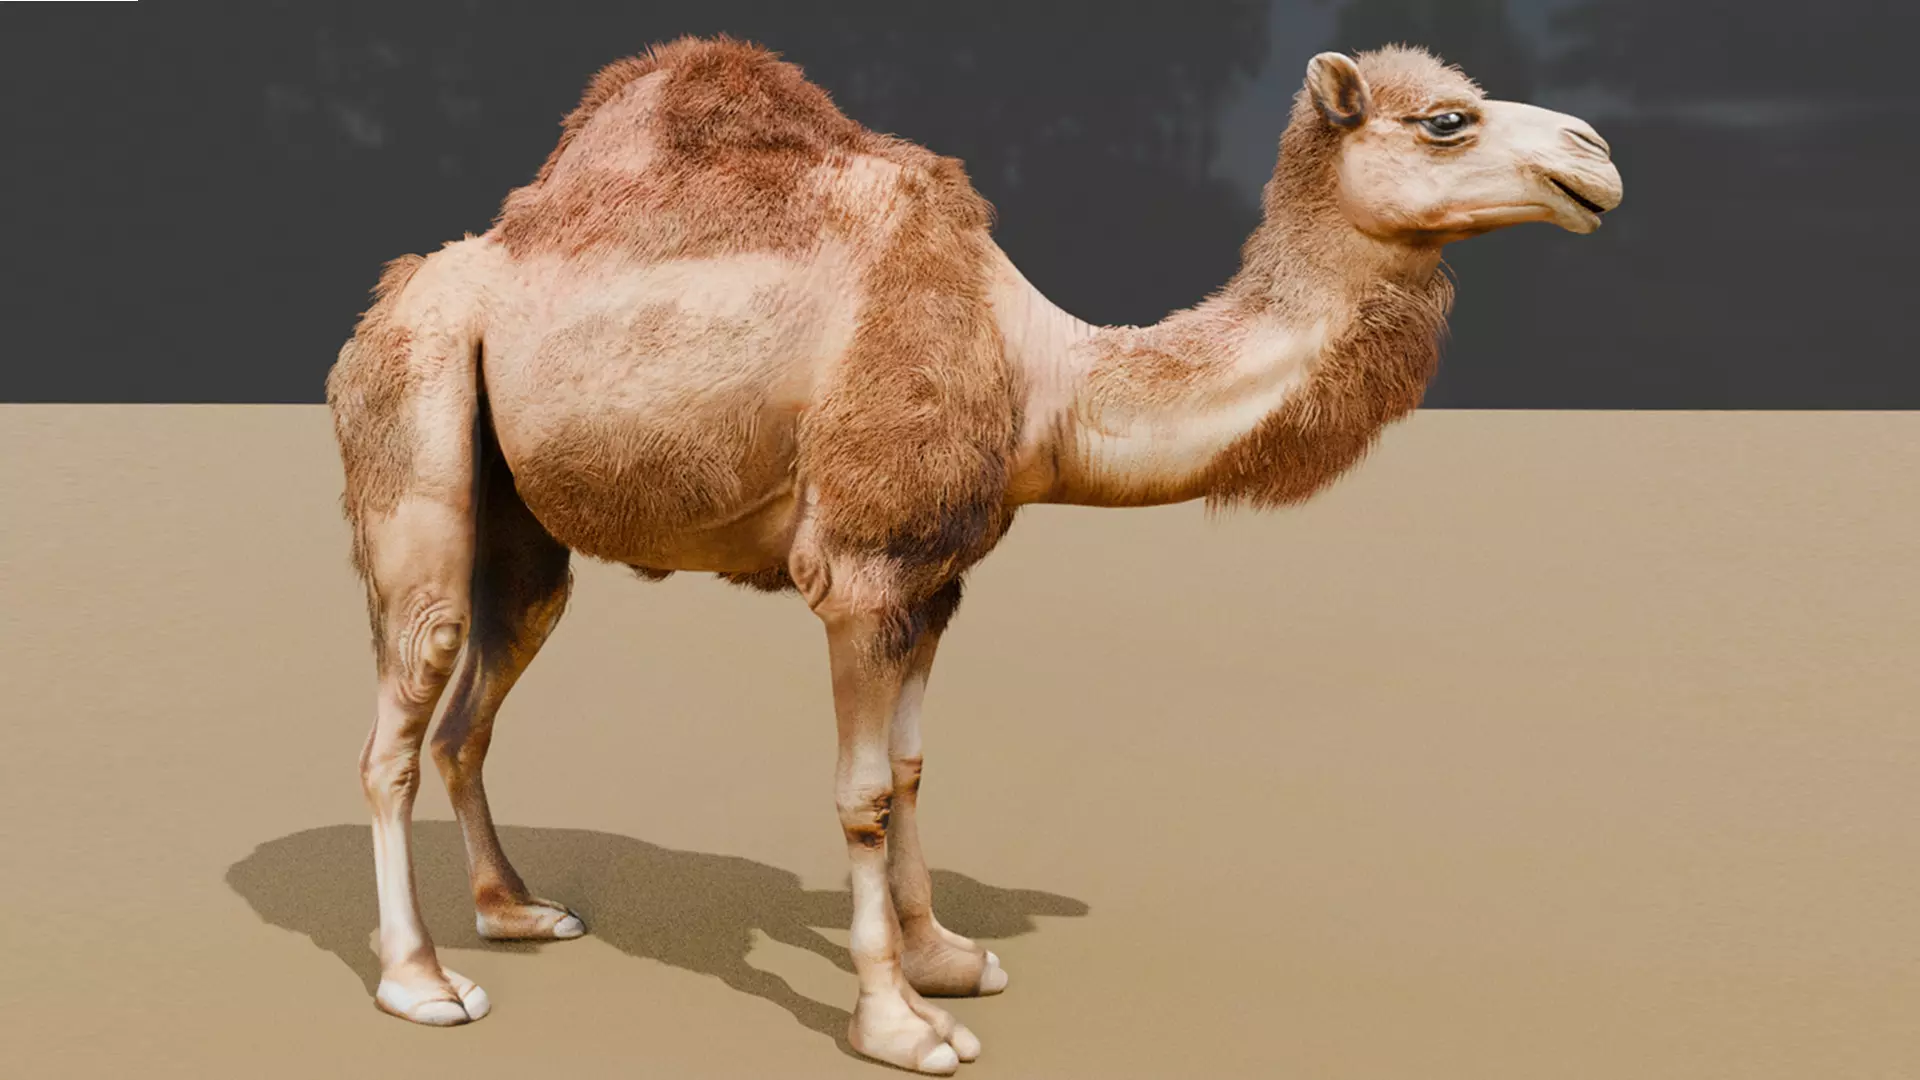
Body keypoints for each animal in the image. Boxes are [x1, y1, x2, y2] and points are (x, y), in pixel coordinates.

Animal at [324, 35, 1622, 1075]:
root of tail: (398, 288)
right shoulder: (860, 569)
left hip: (524, 526)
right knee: (404, 706)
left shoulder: (935, 579)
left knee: (477, 696)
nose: (1598, 154)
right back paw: (423, 982)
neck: (1035, 368)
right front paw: (902, 1024)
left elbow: (909, 772)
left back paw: (515, 913)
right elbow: (857, 796)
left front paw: (946, 958)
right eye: (1446, 119)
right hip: (414, 397)